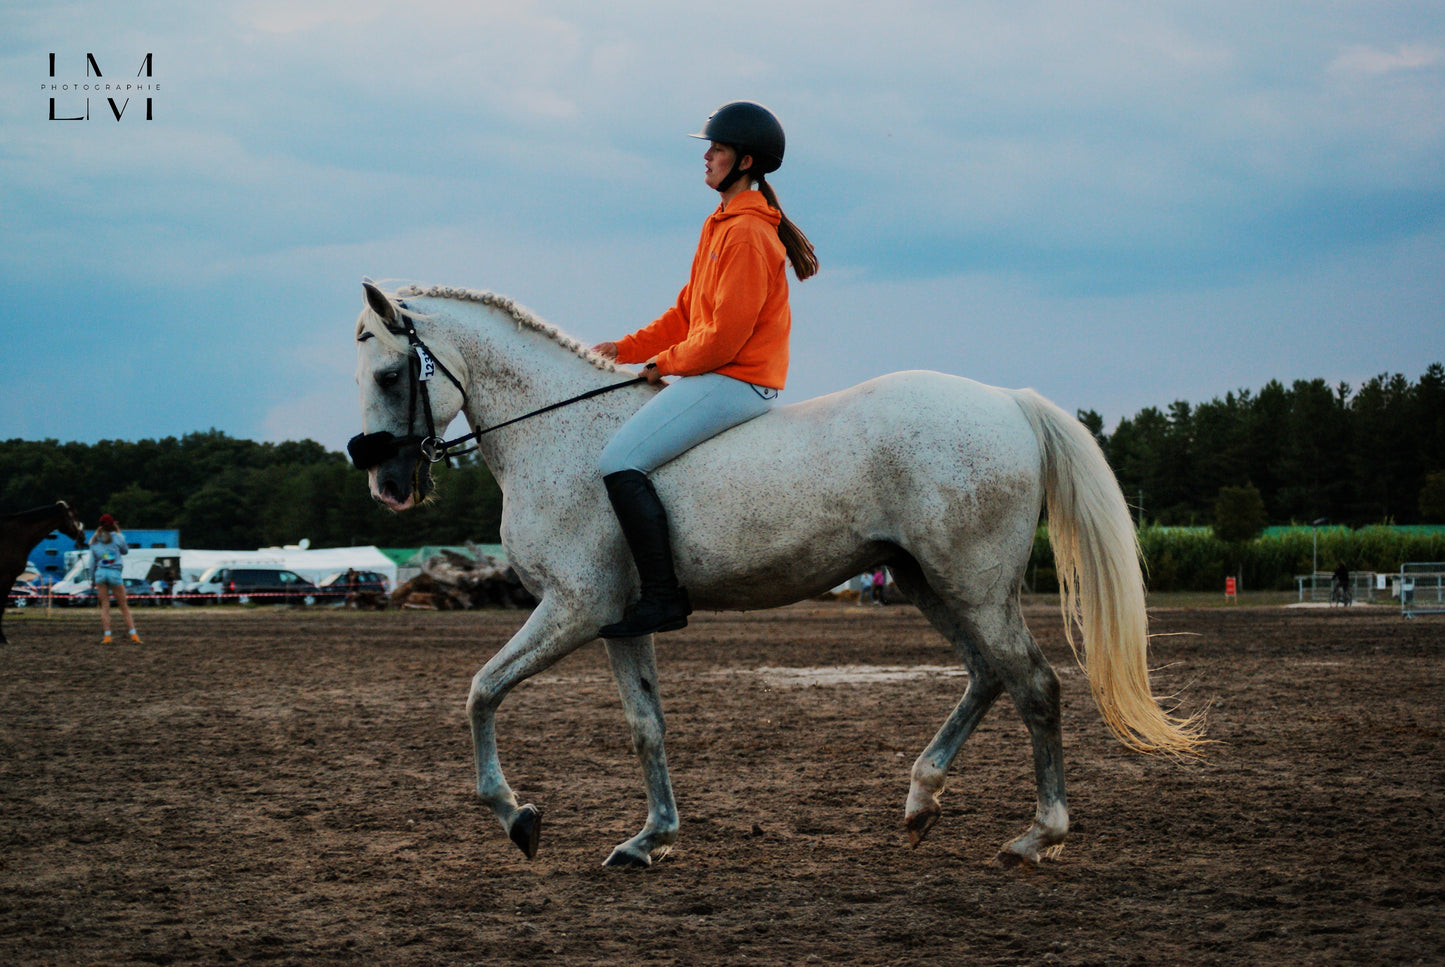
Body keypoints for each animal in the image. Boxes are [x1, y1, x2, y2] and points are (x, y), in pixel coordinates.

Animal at [355, 278, 1202, 867]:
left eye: (392, 375)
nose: (385, 483)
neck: (556, 433)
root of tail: (1008, 401)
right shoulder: (616, 619)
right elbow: (644, 725)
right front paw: (649, 839)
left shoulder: (572, 608)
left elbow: (480, 690)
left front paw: (517, 816)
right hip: (924, 579)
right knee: (986, 674)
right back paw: (920, 800)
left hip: (974, 582)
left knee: (1033, 685)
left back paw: (1036, 835)